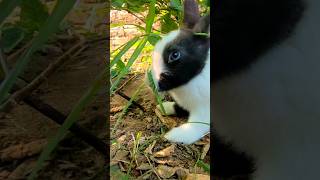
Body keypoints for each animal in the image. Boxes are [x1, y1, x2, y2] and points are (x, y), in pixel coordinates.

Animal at [152, 0, 211, 144]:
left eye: (175, 55)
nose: (151, 82)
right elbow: (179, 107)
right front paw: (165, 107)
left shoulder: (203, 110)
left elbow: (196, 125)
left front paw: (175, 135)